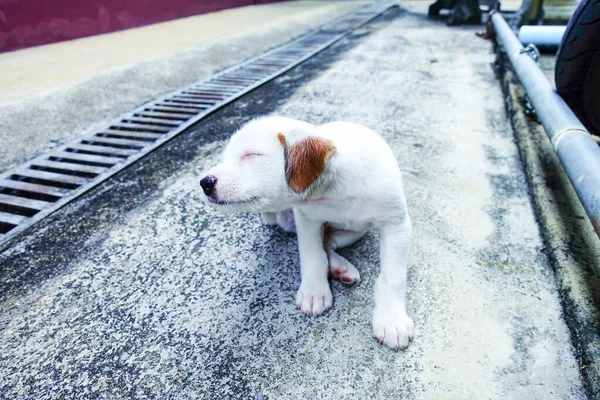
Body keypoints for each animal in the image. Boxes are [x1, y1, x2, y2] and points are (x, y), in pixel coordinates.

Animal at [200, 115, 412, 350]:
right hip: (290, 222)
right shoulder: (306, 220)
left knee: (330, 239)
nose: (204, 183)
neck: (334, 192)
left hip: (357, 230)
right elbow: (313, 256)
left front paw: (391, 320)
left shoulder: (397, 225)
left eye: (252, 155)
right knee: (325, 243)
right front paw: (314, 292)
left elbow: (392, 276)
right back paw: (340, 268)